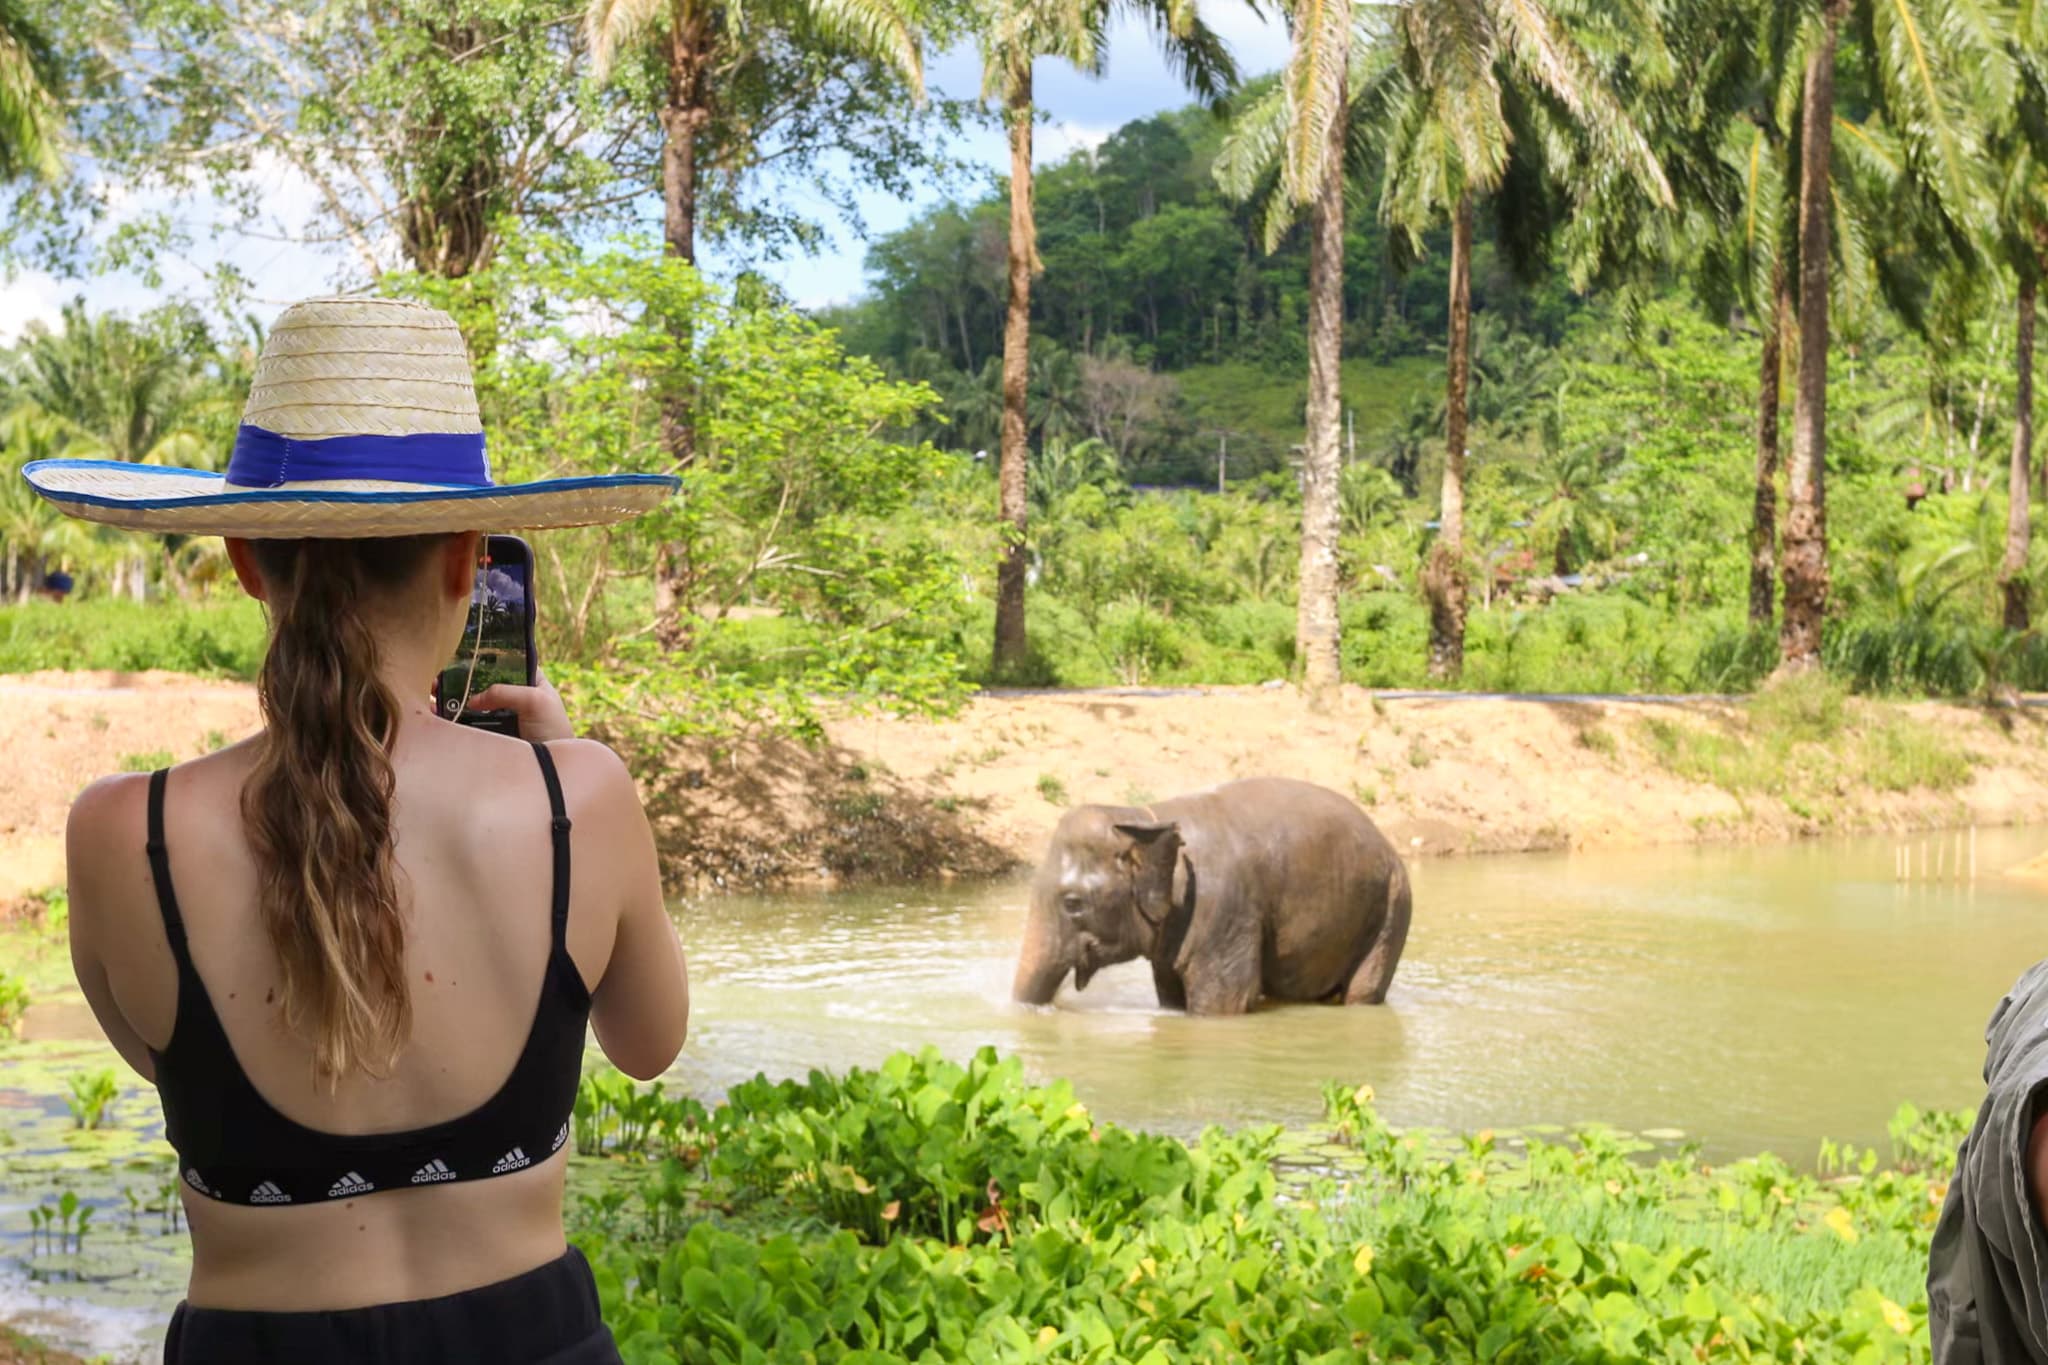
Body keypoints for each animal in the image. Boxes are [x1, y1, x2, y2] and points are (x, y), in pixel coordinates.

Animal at [1012, 777, 1412, 1015]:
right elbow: (1170, 995)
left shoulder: (1224, 910)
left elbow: (1224, 1001)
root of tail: (1390, 847)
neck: (1147, 818)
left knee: (1363, 991)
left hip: (1391, 911)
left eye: (1072, 903)